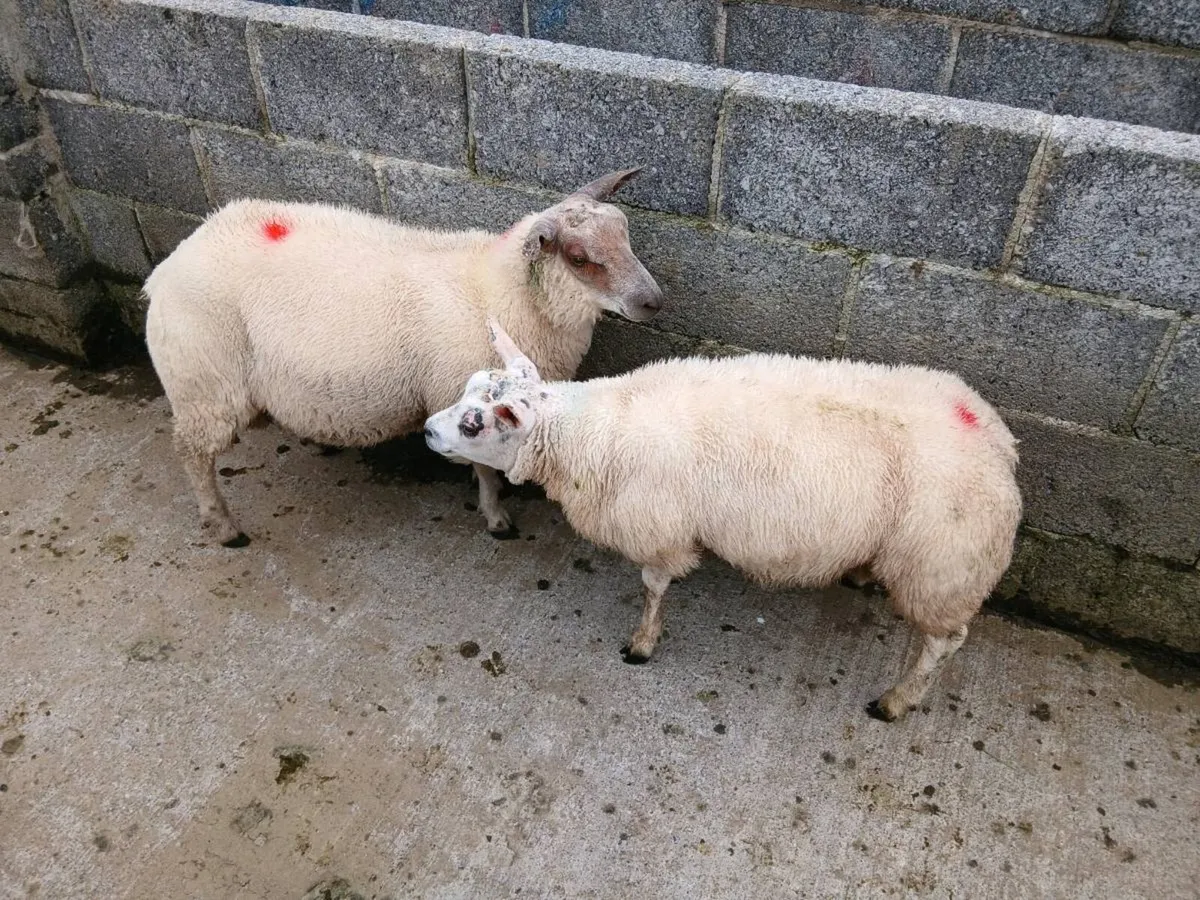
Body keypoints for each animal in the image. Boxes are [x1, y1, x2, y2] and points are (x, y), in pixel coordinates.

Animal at [143, 168, 662, 546]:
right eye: (578, 257)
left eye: (626, 235)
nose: (654, 301)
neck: (498, 291)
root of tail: (168, 265)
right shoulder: (457, 390)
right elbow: (483, 469)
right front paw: (496, 516)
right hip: (203, 384)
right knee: (191, 452)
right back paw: (223, 526)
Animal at [424, 320, 1023, 721]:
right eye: (469, 387)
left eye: (476, 423)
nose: (427, 430)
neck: (589, 433)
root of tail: (999, 444)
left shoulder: (658, 529)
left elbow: (653, 588)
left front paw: (641, 645)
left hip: (943, 566)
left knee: (944, 643)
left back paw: (896, 701)